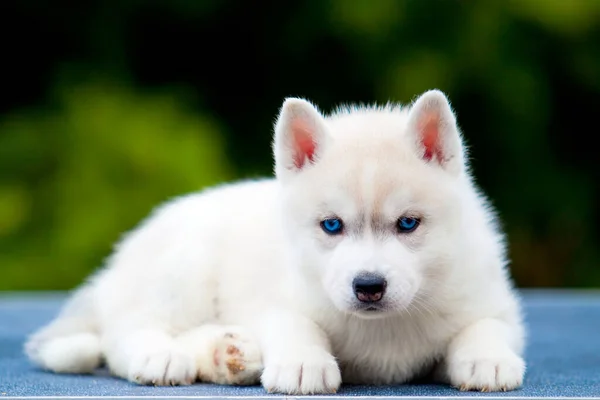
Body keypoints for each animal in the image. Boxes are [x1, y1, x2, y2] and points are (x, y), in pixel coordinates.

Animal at [25, 90, 528, 394]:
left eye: (408, 224)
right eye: (331, 226)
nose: (368, 286)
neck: (385, 328)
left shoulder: (491, 299)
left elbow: (485, 325)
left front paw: (488, 358)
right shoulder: (275, 297)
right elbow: (294, 323)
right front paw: (304, 362)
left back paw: (228, 354)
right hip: (183, 269)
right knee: (126, 329)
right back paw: (163, 356)